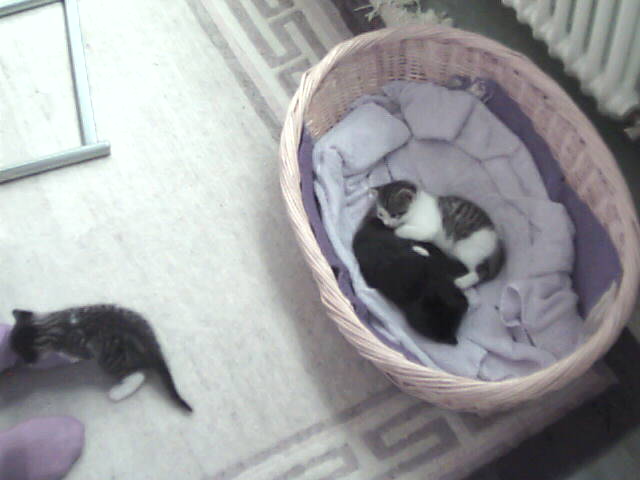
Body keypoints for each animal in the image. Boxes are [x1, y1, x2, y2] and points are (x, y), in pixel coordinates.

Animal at [9, 304, 192, 412]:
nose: (26, 363)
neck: (53, 324)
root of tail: (149, 344)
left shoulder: (80, 348)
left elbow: (74, 355)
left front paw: (69, 358)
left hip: (110, 360)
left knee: (138, 374)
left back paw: (118, 393)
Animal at [373, 180, 504, 290]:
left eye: (394, 215)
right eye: (380, 214)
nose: (387, 224)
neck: (416, 208)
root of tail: (496, 241)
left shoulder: (429, 228)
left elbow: (410, 231)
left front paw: (398, 230)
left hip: (466, 247)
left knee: (481, 272)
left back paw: (462, 283)